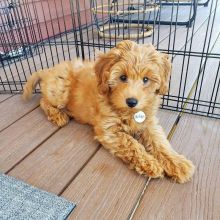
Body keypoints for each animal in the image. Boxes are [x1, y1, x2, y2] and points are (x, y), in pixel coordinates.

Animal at [23, 40, 195, 183]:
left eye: (146, 79)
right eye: (122, 77)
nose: (132, 101)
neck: (128, 112)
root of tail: (48, 70)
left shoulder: (149, 123)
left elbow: (160, 142)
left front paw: (178, 163)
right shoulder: (109, 130)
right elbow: (131, 143)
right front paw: (150, 163)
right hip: (60, 90)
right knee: (42, 101)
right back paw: (58, 115)